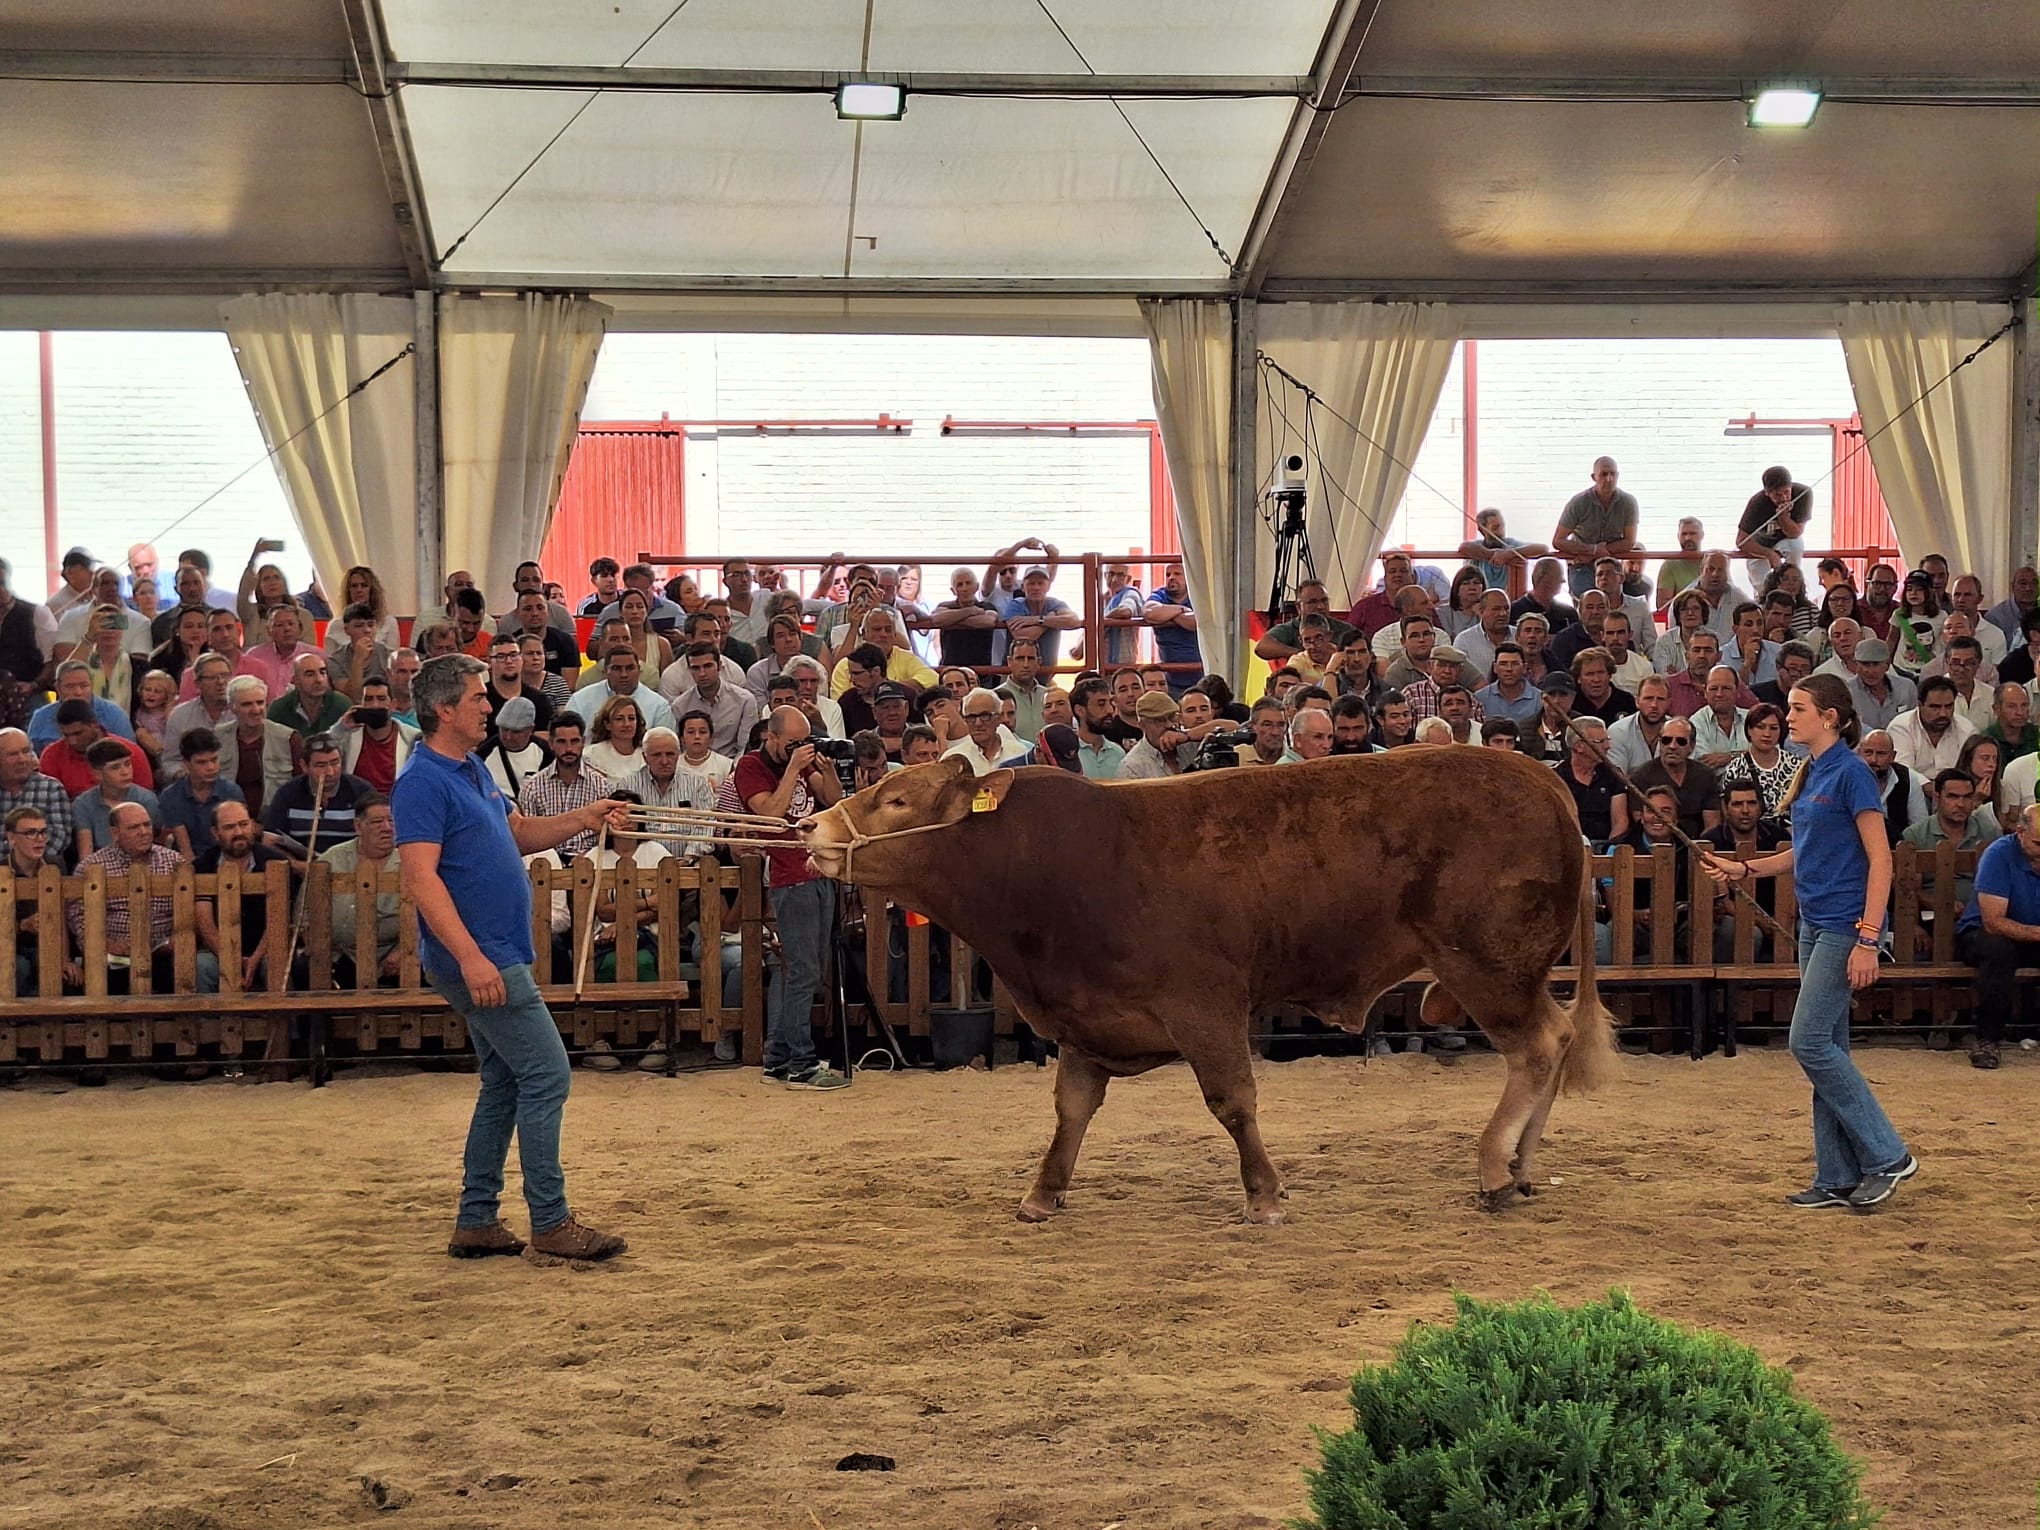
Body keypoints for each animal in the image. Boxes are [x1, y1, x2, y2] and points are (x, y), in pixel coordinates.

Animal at [795, 750, 1607, 1232]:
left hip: (1488, 966)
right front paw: (1043, 1192)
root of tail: (1540, 776)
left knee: (1539, 1045)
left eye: (897, 800)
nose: (813, 828)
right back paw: (1523, 1167)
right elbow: (1072, 1110)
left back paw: (1496, 1166)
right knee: (1558, 1037)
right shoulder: (1087, 1020)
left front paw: (1264, 1194)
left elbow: (1231, 1102)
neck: (1050, 865)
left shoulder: (1205, 1005)